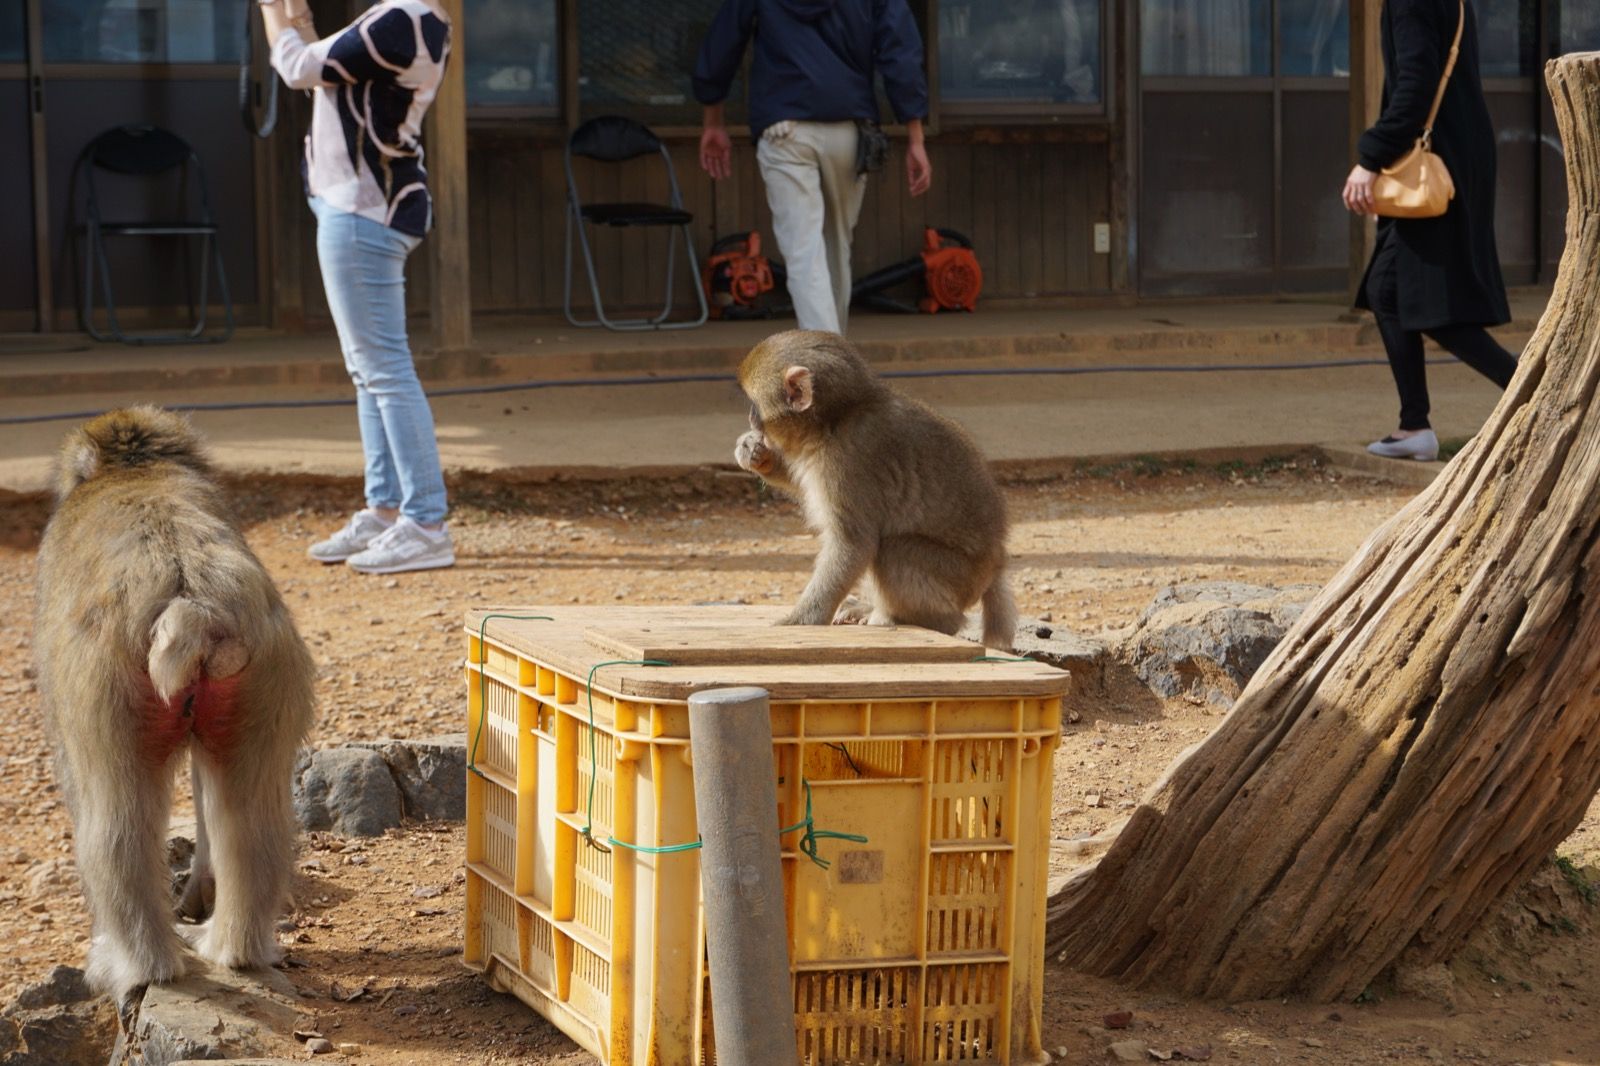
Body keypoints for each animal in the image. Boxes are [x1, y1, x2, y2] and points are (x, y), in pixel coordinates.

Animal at [32, 403, 313, 998]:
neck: (134, 468)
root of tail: (191, 599)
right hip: (268, 667)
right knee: (248, 814)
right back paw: (236, 948)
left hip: (105, 684)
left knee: (116, 824)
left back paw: (142, 965)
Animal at [732, 332, 1017, 643]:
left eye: (754, 404)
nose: (749, 416)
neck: (837, 420)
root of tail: (995, 567)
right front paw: (759, 457)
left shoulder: (848, 462)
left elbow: (854, 543)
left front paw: (802, 621)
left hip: (956, 577)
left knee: (893, 549)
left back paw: (929, 622)